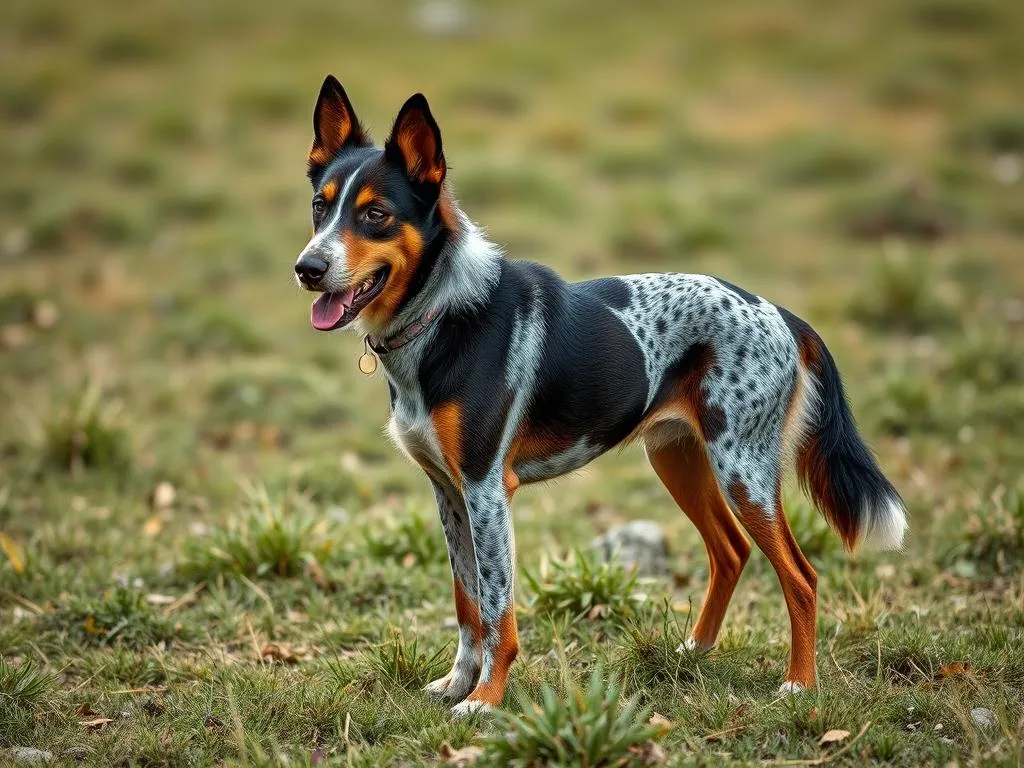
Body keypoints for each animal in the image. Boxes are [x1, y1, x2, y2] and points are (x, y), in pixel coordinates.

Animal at [292, 76, 909, 716]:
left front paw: (486, 698)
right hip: (679, 459)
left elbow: (496, 611)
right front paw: (459, 683)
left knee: (801, 575)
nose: (307, 268)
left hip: (744, 471)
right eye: (319, 206)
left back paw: (799, 685)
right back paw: (695, 651)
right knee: (730, 553)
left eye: (376, 214)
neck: (441, 311)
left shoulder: (487, 490)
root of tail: (781, 313)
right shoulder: (449, 493)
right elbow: (467, 606)